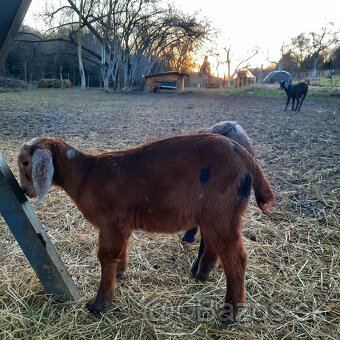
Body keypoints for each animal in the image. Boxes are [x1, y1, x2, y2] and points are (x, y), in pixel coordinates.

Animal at [17, 134, 274, 322]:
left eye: (25, 163)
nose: (25, 191)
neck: (86, 174)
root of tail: (245, 156)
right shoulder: (122, 224)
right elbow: (120, 249)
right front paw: (121, 272)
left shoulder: (112, 221)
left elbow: (105, 257)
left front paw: (100, 304)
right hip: (214, 214)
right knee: (214, 246)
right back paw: (201, 276)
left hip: (222, 211)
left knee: (236, 258)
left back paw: (229, 314)